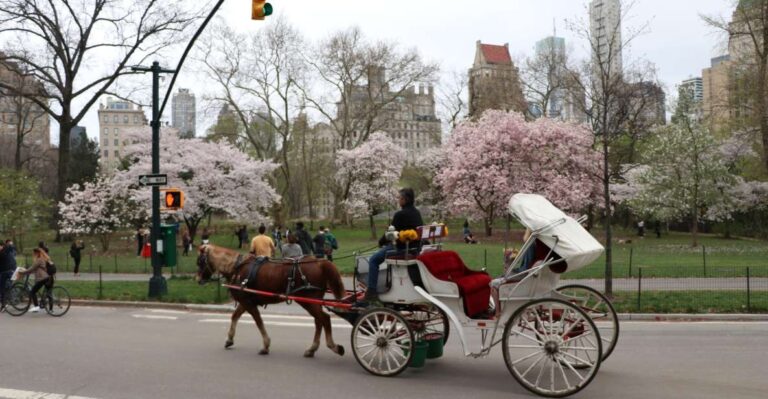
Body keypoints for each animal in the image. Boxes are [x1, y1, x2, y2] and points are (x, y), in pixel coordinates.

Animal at [196, 244, 346, 360]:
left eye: (199, 262)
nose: (197, 280)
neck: (237, 267)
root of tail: (320, 262)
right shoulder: (246, 302)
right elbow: (235, 317)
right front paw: (229, 339)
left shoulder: (247, 303)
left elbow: (258, 322)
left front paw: (265, 345)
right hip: (312, 301)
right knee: (319, 321)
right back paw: (312, 349)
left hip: (308, 301)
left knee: (324, 319)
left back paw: (333, 346)